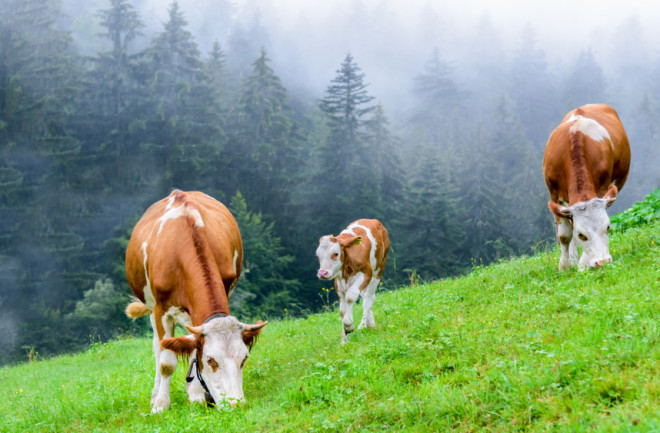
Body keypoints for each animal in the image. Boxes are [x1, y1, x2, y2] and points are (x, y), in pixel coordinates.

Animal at [124, 190, 268, 412]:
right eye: (210, 360)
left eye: (244, 358)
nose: (235, 404)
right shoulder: (161, 310)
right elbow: (166, 362)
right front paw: (160, 405)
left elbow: (192, 348)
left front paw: (196, 396)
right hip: (150, 308)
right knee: (158, 348)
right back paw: (155, 394)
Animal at [544, 102, 632, 268]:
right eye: (582, 235)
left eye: (608, 227)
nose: (603, 262)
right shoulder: (554, 195)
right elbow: (565, 235)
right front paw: (565, 266)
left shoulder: (602, 188)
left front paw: (583, 263)